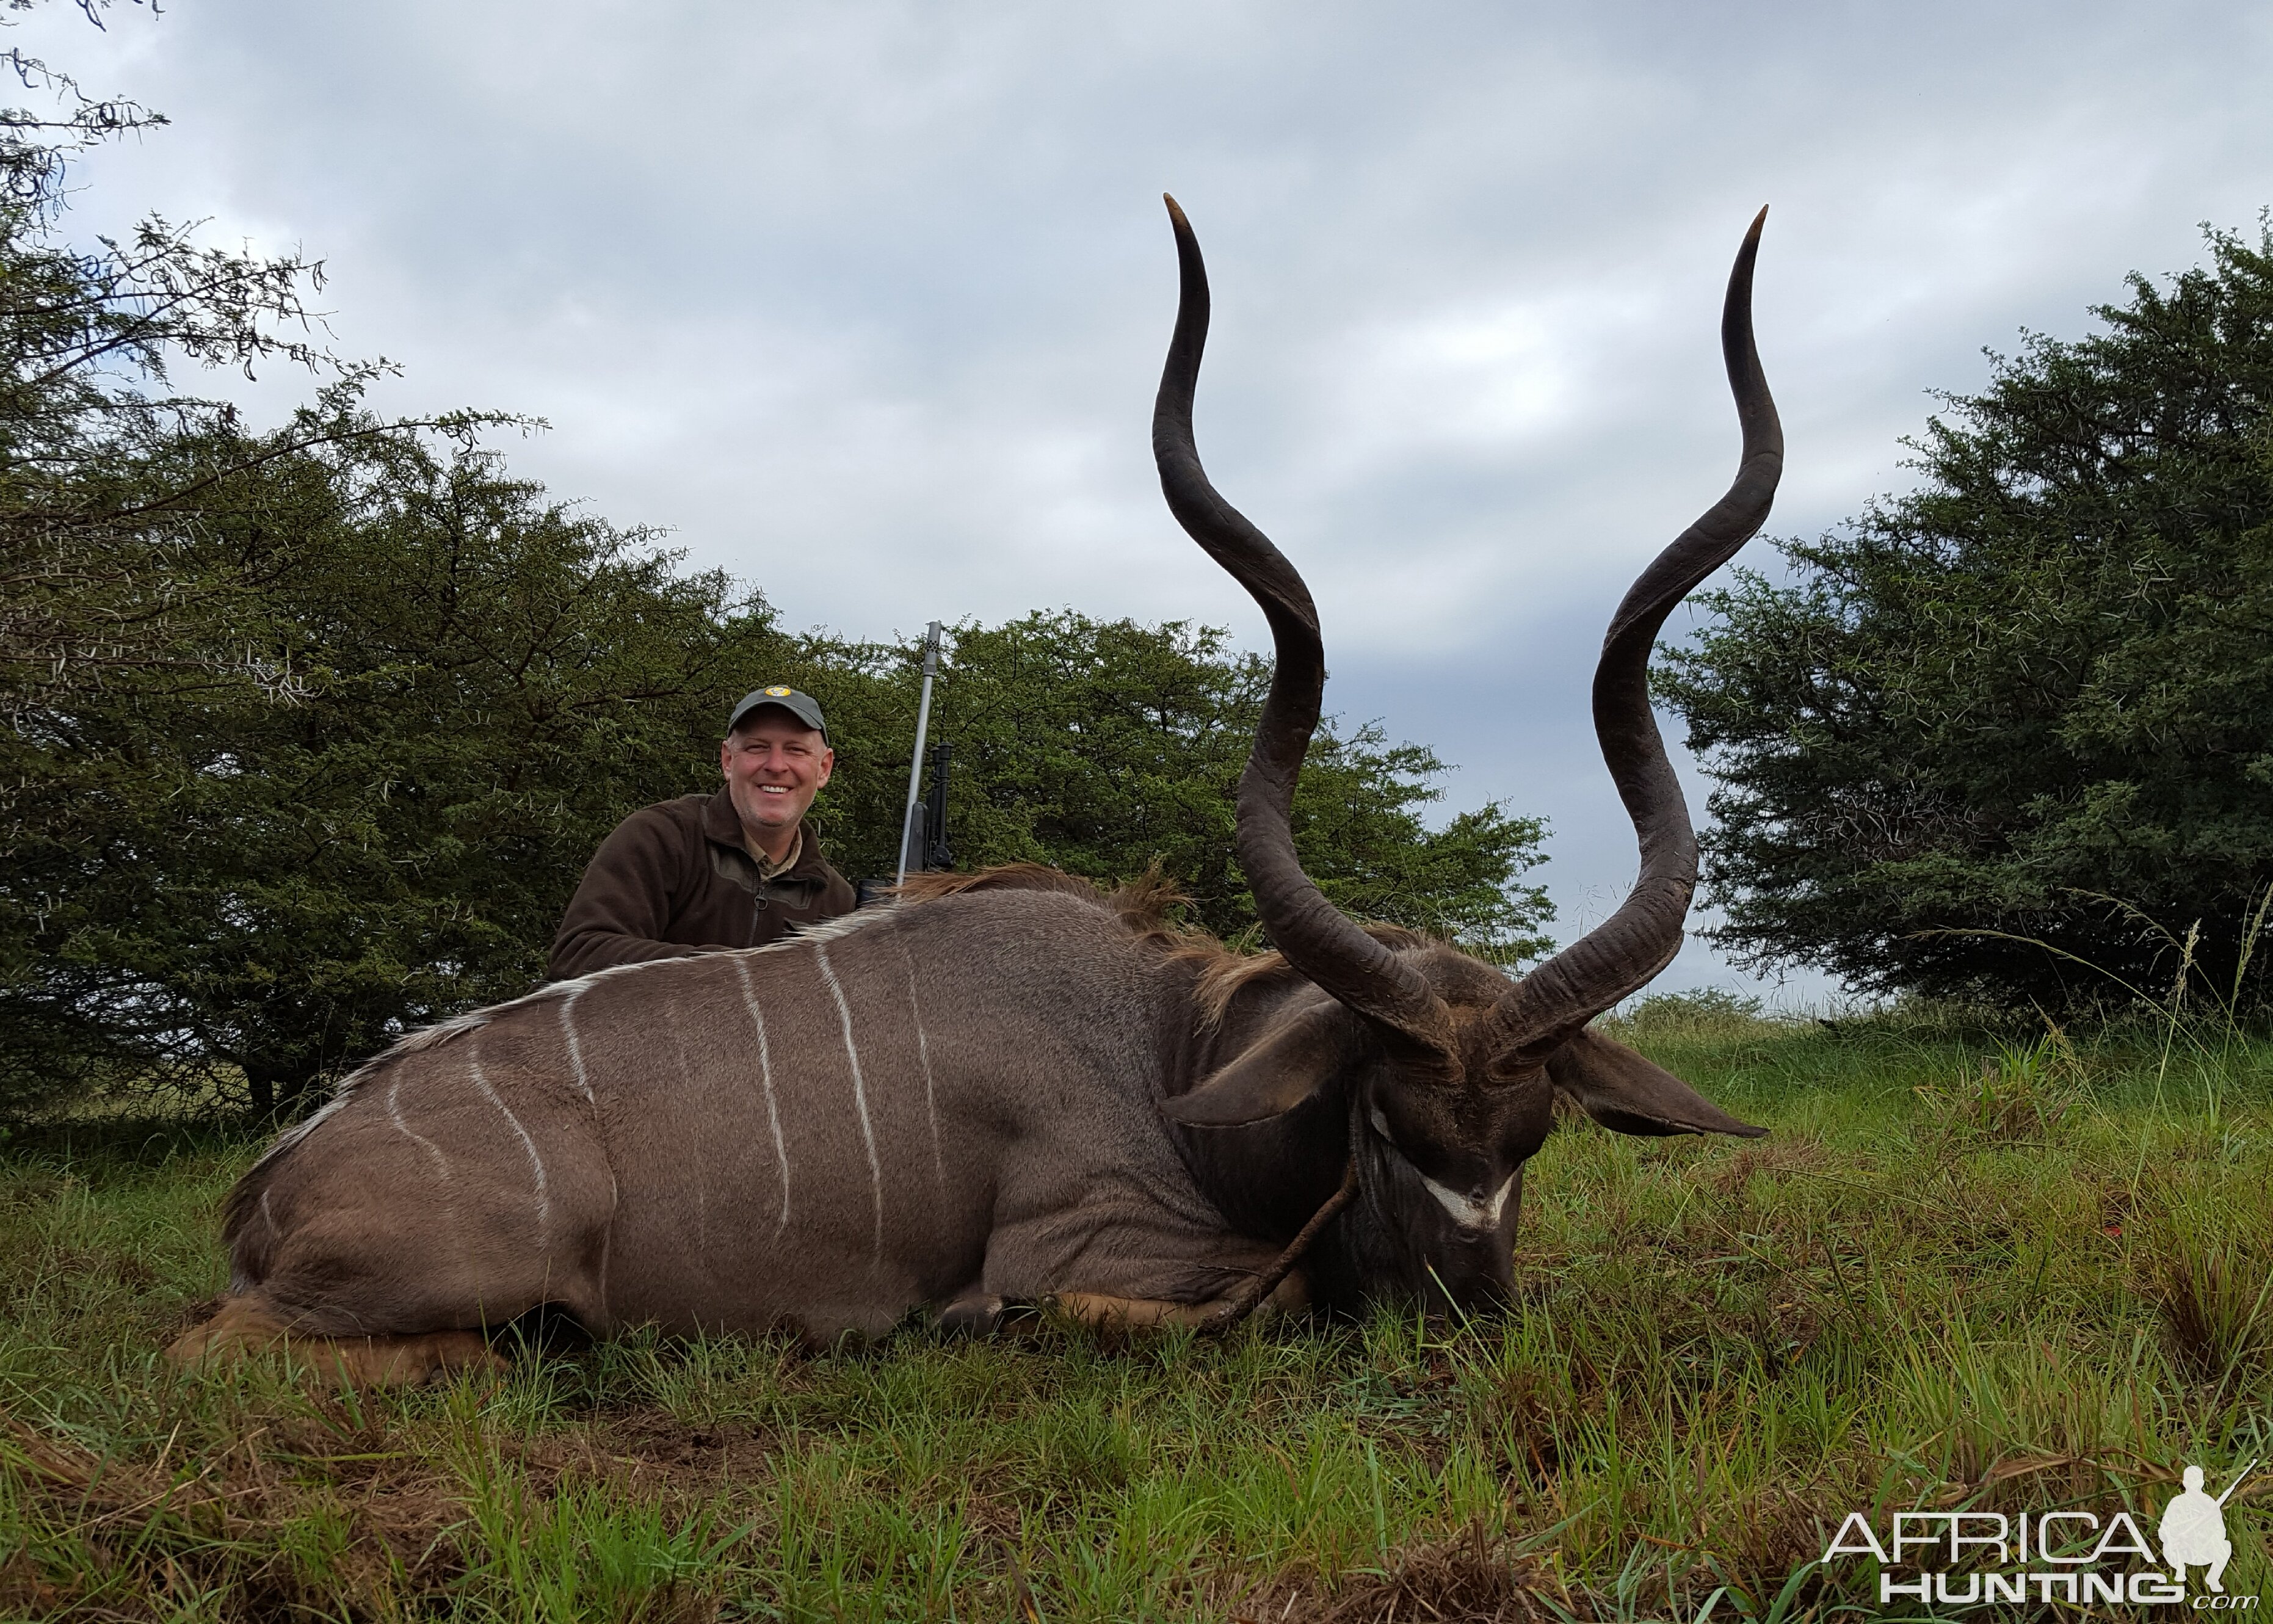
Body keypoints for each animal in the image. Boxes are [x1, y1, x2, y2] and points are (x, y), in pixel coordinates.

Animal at [168, 198, 1782, 1383]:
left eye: (1533, 1138)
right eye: (1382, 1124)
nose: (1464, 1322)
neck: (1169, 1041)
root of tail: (274, 1177)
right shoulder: (1087, 1247)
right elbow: (1213, 1304)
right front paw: (958, 1320)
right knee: (224, 1343)